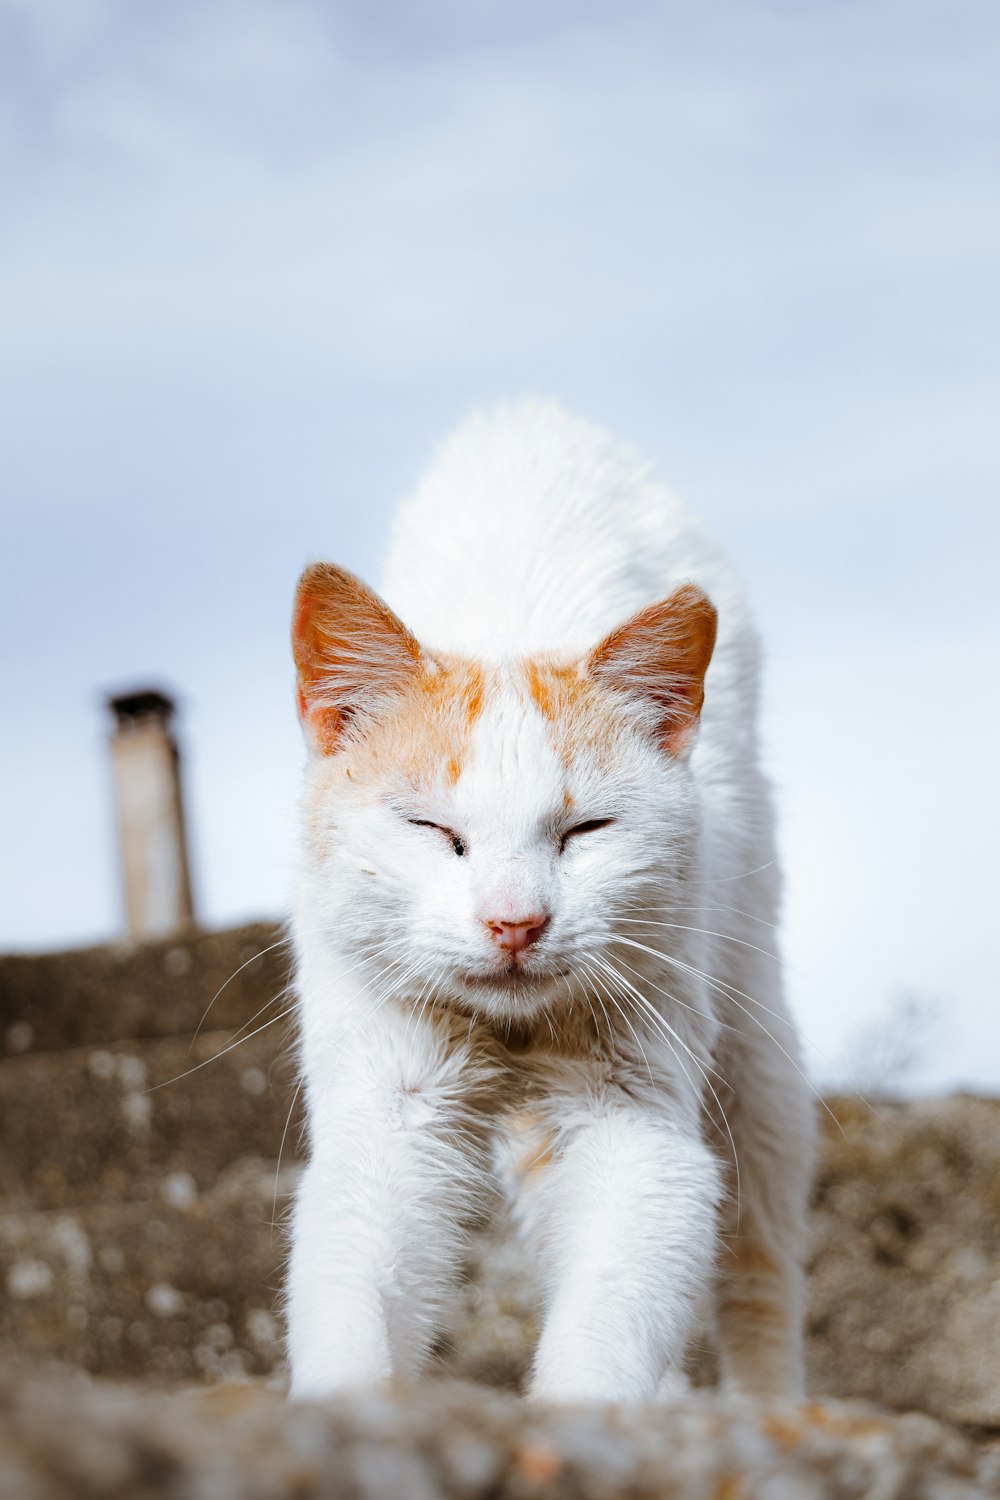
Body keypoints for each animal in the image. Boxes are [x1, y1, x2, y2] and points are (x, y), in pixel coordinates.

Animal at [284, 402, 815, 1404]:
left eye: (587, 831)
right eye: (432, 830)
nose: (515, 922)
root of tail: (532, 411)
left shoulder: (633, 1126)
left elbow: (610, 1323)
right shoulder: (392, 1105)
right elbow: (354, 1290)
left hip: (756, 1042)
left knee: (761, 1265)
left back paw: (769, 1410)